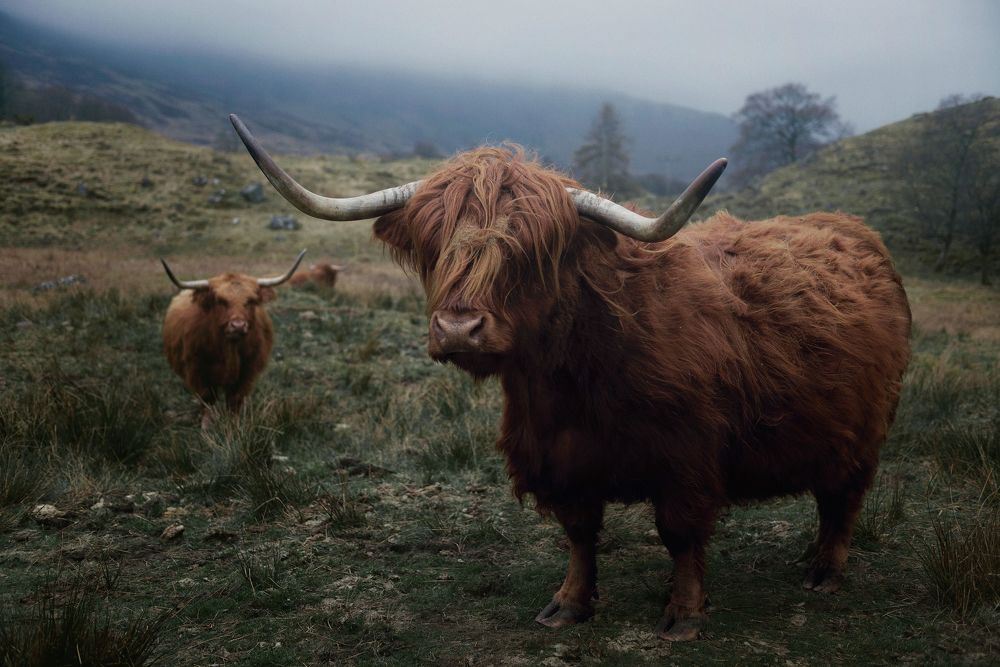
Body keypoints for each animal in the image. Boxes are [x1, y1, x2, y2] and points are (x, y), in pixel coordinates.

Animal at [161, 251, 305, 428]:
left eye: (250, 301)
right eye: (220, 301)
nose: (238, 325)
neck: (229, 349)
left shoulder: (248, 371)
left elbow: (234, 400)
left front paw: (234, 425)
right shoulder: (196, 370)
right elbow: (207, 398)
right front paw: (206, 427)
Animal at [230, 114, 911, 641]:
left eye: (527, 254)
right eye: (435, 247)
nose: (458, 328)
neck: (570, 382)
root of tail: (853, 229)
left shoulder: (689, 457)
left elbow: (681, 534)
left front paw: (685, 614)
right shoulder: (556, 455)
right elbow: (580, 533)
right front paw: (568, 605)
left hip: (863, 429)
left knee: (843, 498)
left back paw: (825, 572)